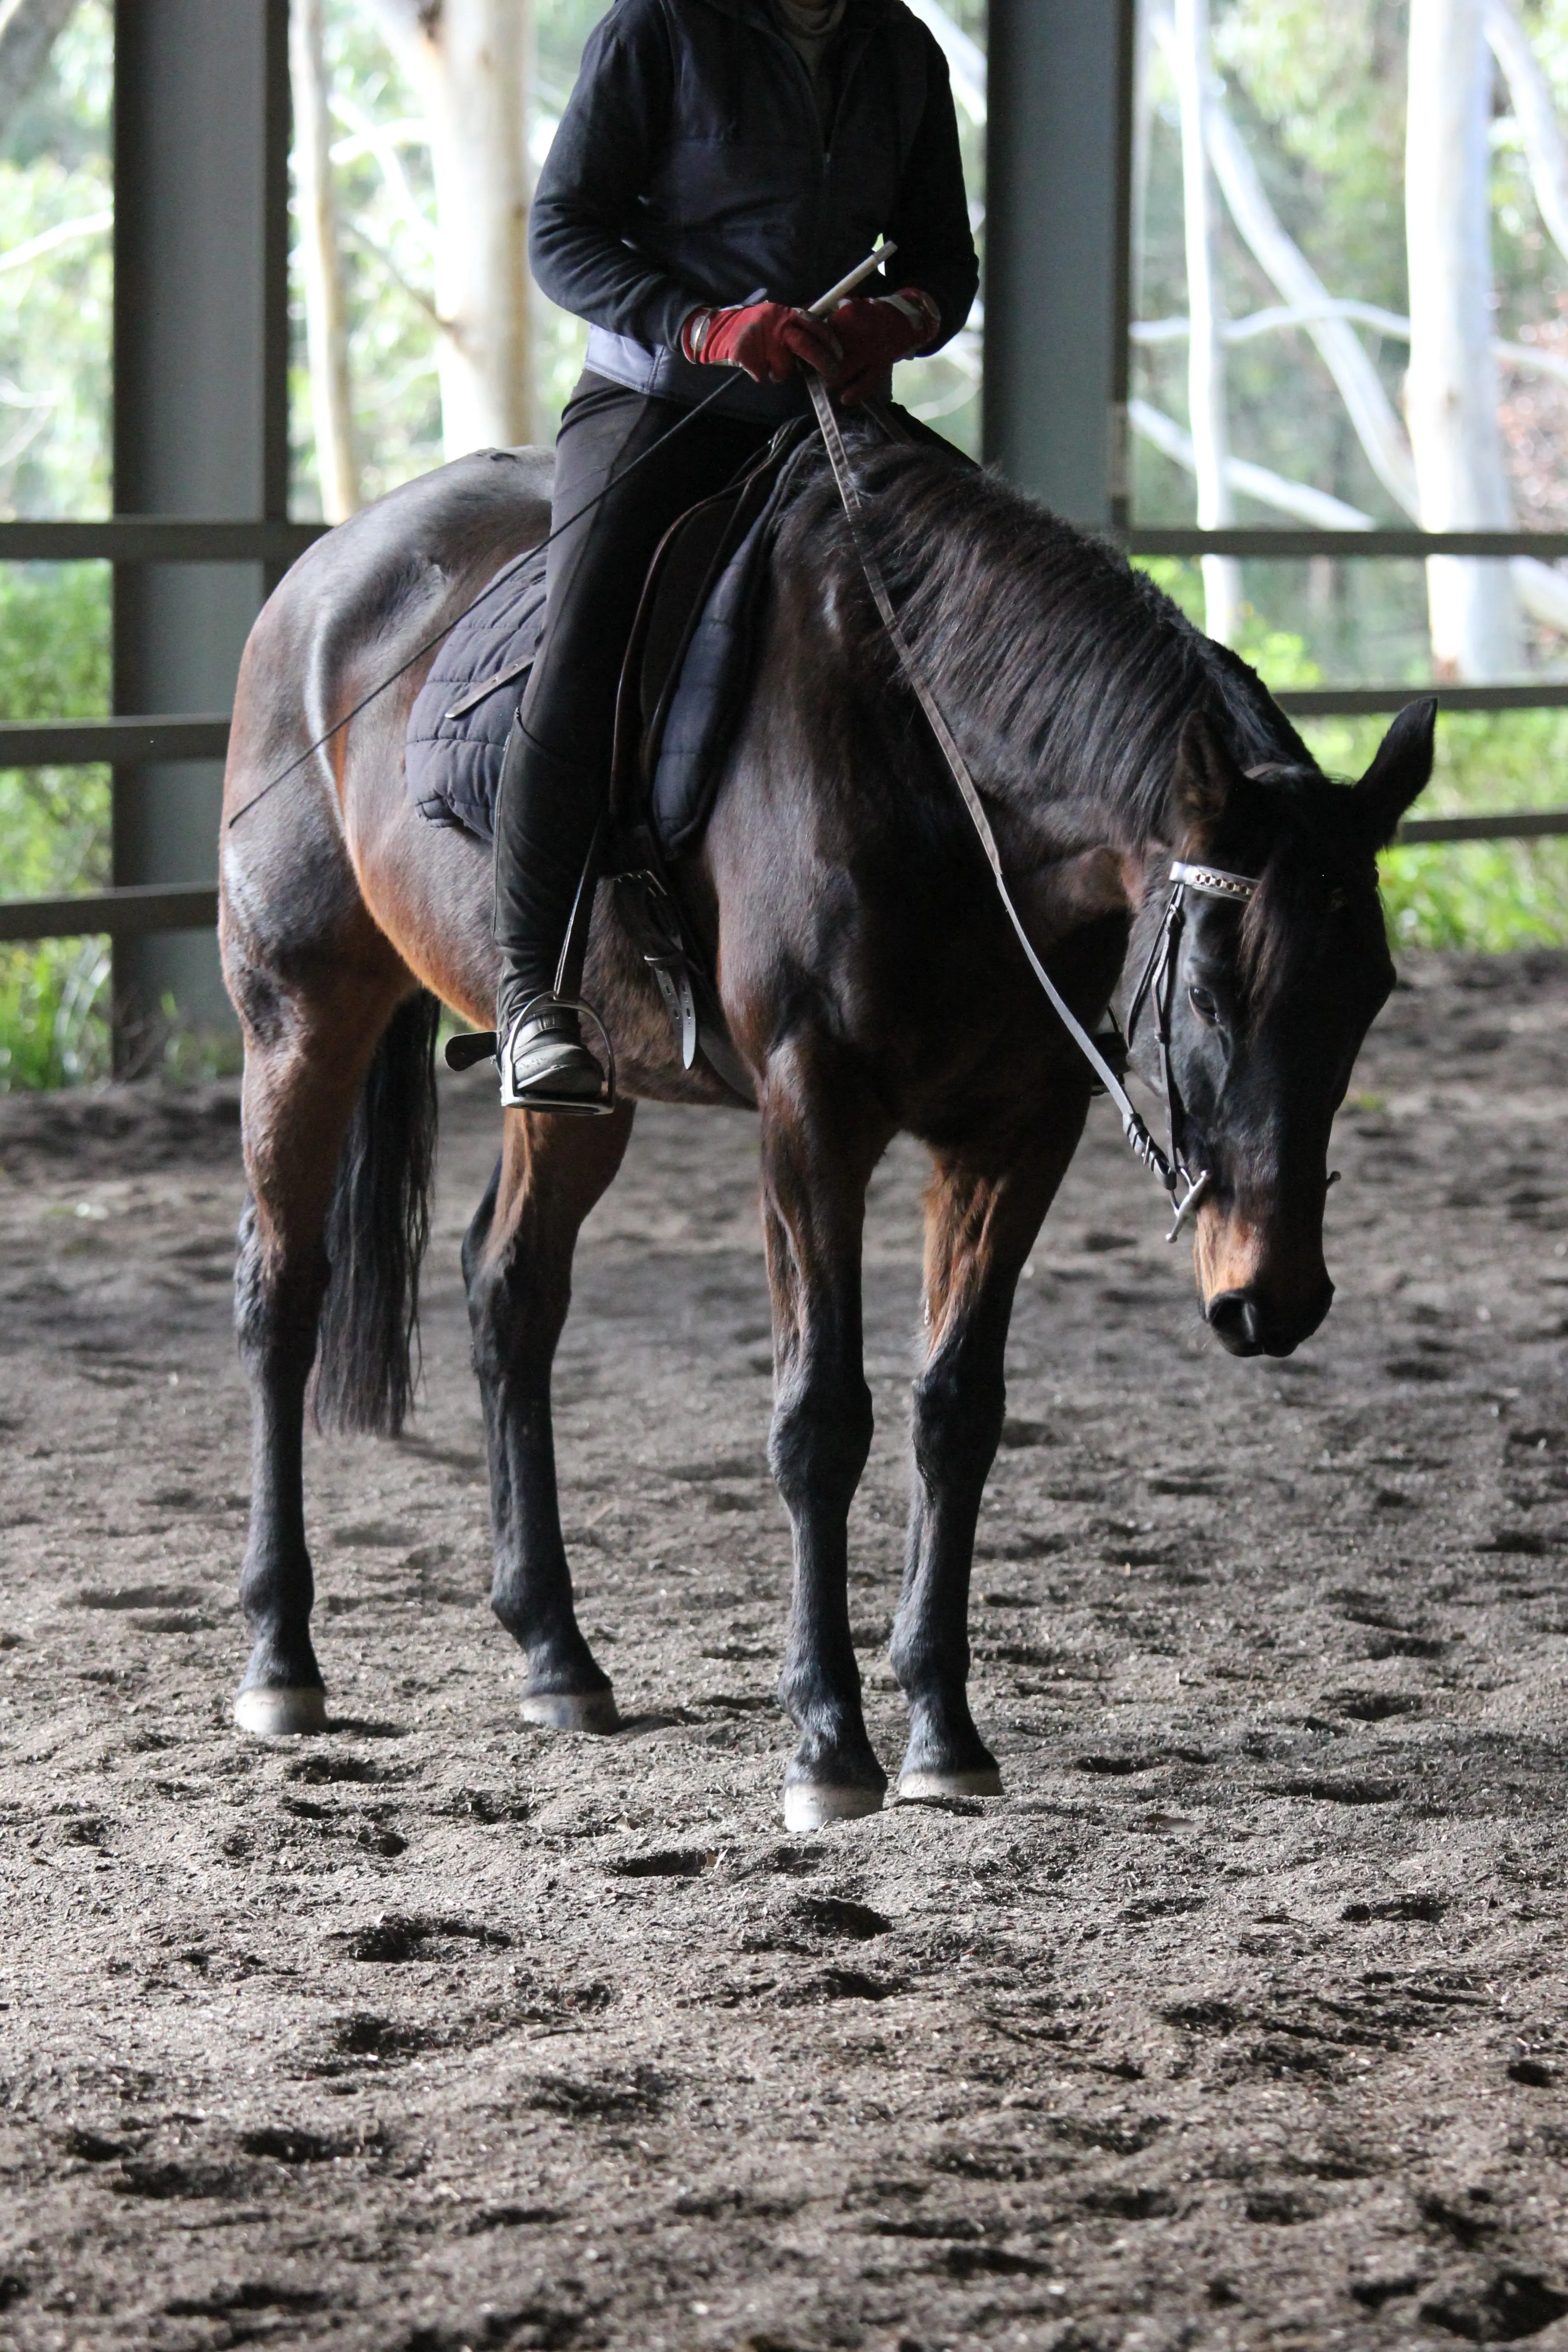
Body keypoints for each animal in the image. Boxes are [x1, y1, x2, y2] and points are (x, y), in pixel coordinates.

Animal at [217, 437, 1439, 1834]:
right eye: (1210, 990)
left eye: (1371, 992)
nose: (1270, 1297)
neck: (940, 767)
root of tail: (320, 573)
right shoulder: (813, 1116)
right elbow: (821, 1419)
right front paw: (826, 1742)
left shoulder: (1013, 1132)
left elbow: (956, 1411)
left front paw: (944, 1732)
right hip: (300, 1014)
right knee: (282, 1294)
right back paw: (280, 1659)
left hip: (579, 1085)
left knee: (508, 1292)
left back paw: (555, 1655)